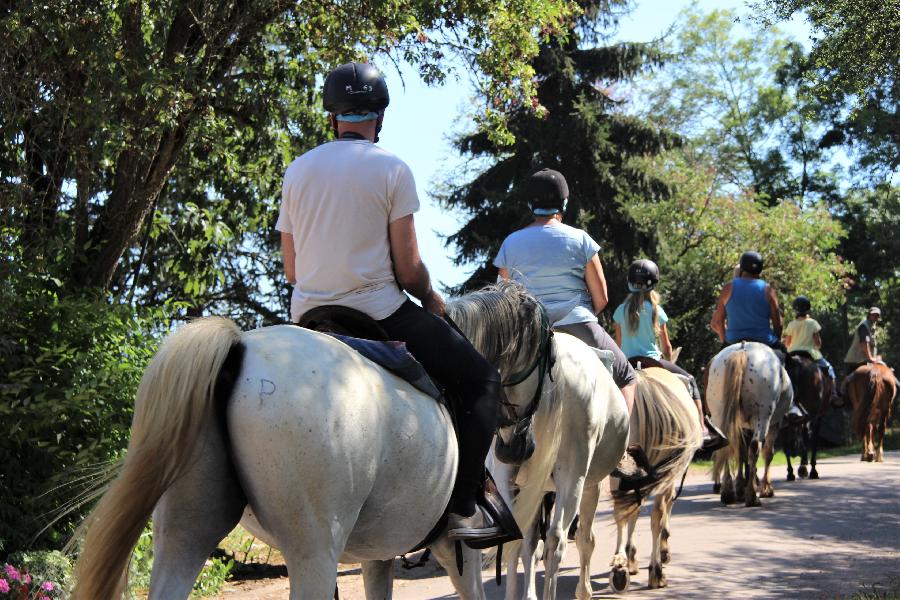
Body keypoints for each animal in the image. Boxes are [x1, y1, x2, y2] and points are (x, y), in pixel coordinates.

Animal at [72, 284, 548, 596]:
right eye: (544, 358)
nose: (517, 449)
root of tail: (239, 348)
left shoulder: (378, 553)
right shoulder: (457, 549)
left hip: (184, 530)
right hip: (313, 551)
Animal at [460, 328, 628, 600]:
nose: (511, 449)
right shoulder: (581, 484)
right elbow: (575, 540)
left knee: (537, 538)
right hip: (566, 480)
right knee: (554, 541)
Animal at [608, 366, 708, 592]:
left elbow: (633, 513)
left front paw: (630, 558)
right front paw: (662, 552)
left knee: (621, 512)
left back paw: (619, 568)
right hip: (665, 477)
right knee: (657, 516)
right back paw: (657, 571)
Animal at [708, 342, 792, 506]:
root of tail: (742, 350)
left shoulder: (741, 425)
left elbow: (741, 452)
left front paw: (740, 487)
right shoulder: (774, 425)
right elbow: (768, 453)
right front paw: (766, 488)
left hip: (720, 415)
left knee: (727, 444)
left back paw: (728, 492)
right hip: (763, 417)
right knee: (754, 448)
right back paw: (752, 496)